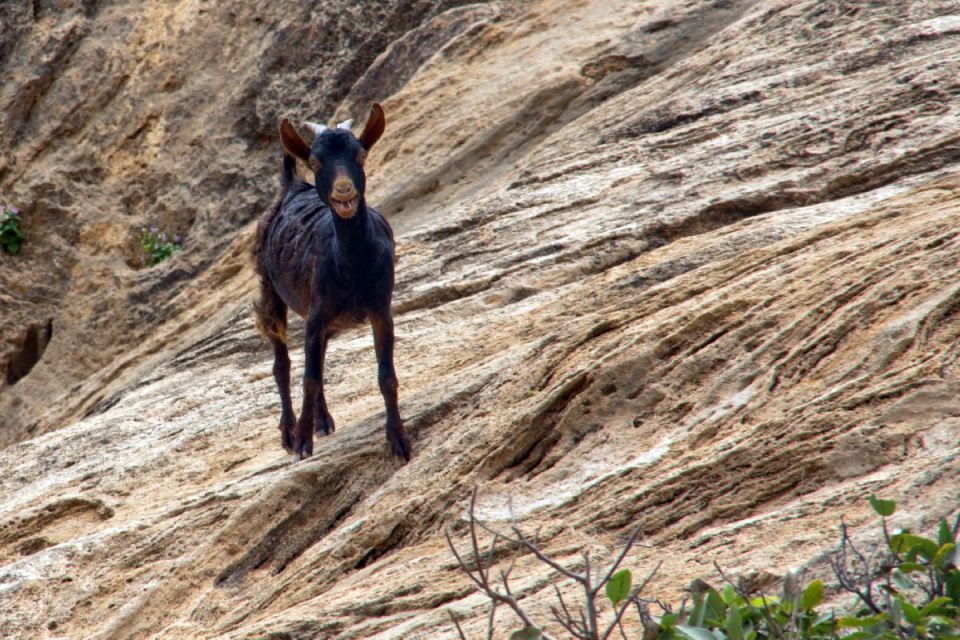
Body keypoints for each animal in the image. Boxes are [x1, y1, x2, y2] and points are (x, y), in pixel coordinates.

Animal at [251, 105, 408, 462]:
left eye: (360, 155)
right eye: (316, 161)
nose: (344, 190)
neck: (352, 265)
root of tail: (291, 186)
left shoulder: (381, 310)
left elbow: (386, 376)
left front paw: (399, 440)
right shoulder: (316, 311)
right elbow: (308, 378)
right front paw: (301, 442)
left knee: (318, 356)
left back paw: (322, 421)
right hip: (270, 287)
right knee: (282, 363)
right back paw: (289, 431)